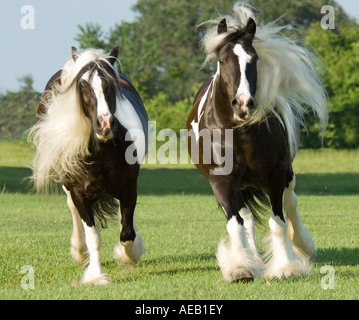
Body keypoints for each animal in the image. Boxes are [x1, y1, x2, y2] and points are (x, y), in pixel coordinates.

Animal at [29, 45, 149, 284]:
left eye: (110, 83)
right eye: (82, 84)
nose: (105, 124)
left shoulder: (129, 187)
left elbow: (127, 232)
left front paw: (129, 255)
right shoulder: (79, 192)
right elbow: (93, 235)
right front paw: (96, 276)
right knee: (73, 210)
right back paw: (79, 251)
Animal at [187, 3, 328, 282]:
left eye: (254, 59)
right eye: (222, 60)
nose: (243, 104)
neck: (240, 135)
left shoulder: (275, 175)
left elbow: (279, 222)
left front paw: (286, 267)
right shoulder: (222, 182)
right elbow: (236, 225)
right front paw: (240, 267)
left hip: (286, 174)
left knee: (290, 203)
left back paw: (304, 247)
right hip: (241, 187)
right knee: (247, 219)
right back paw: (253, 258)